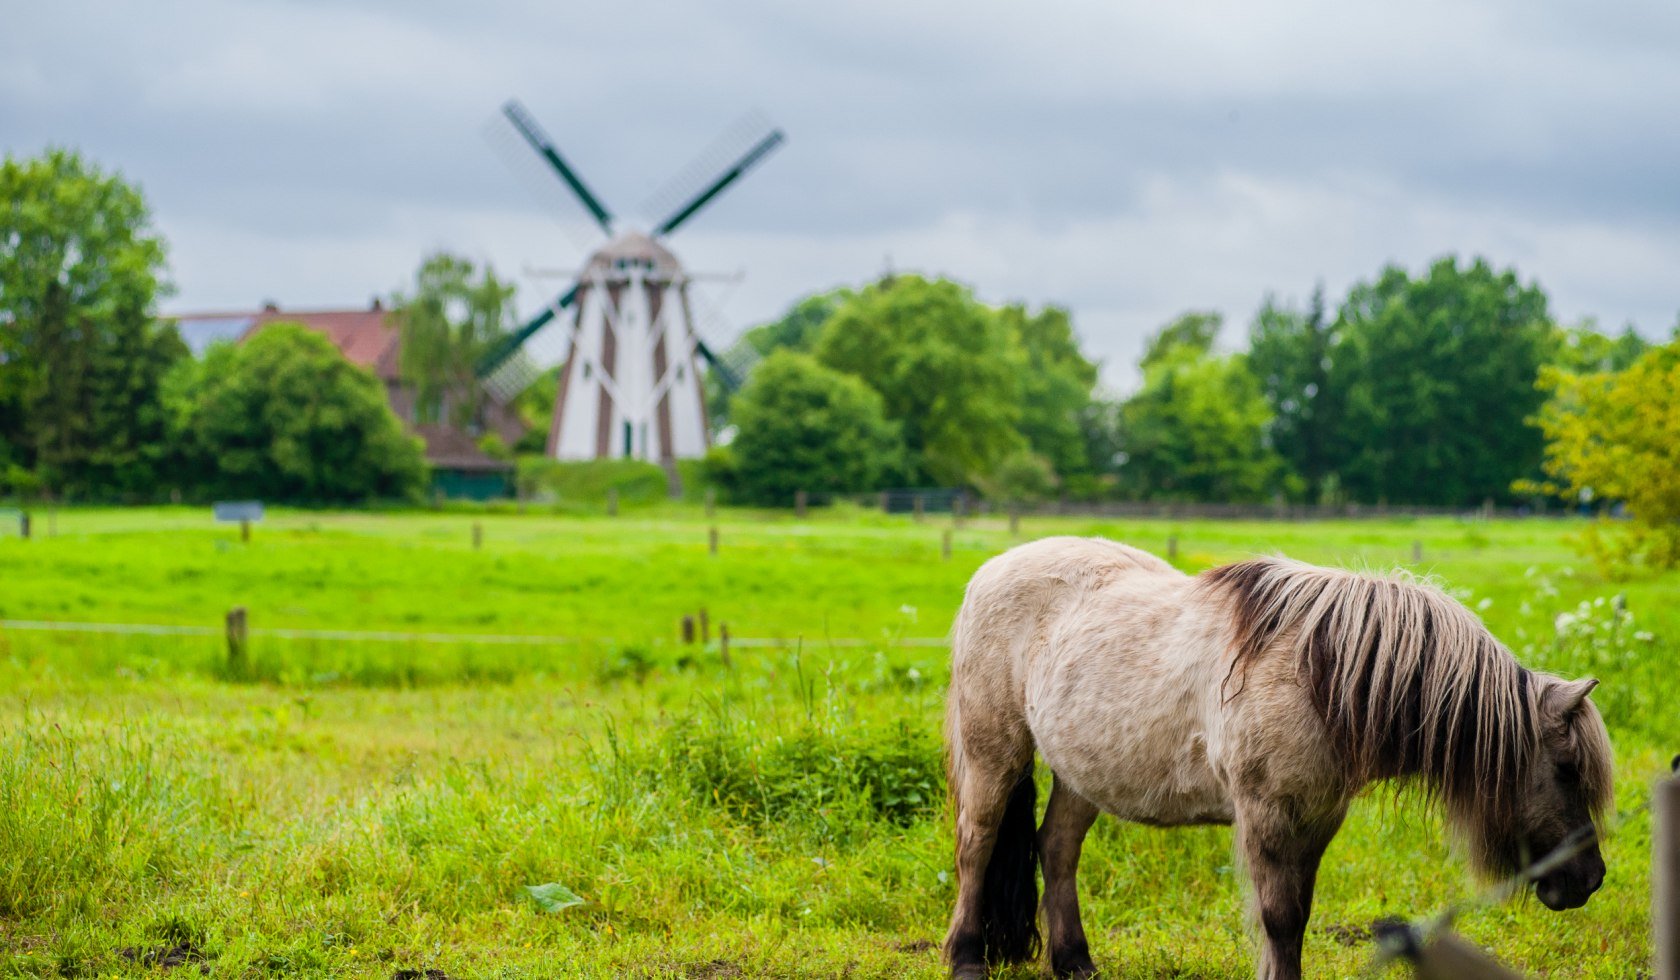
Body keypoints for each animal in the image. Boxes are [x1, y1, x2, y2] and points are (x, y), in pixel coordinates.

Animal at [947, 541, 1612, 974]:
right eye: (1566, 769)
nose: (1590, 878)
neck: (1319, 677)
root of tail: (990, 569)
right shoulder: (1268, 815)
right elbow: (1280, 918)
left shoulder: (1317, 818)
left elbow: (1298, 916)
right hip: (995, 753)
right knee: (977, 845)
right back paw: (966, 956)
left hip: (1080, 772)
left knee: (1057, 848)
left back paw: (1075, 962)